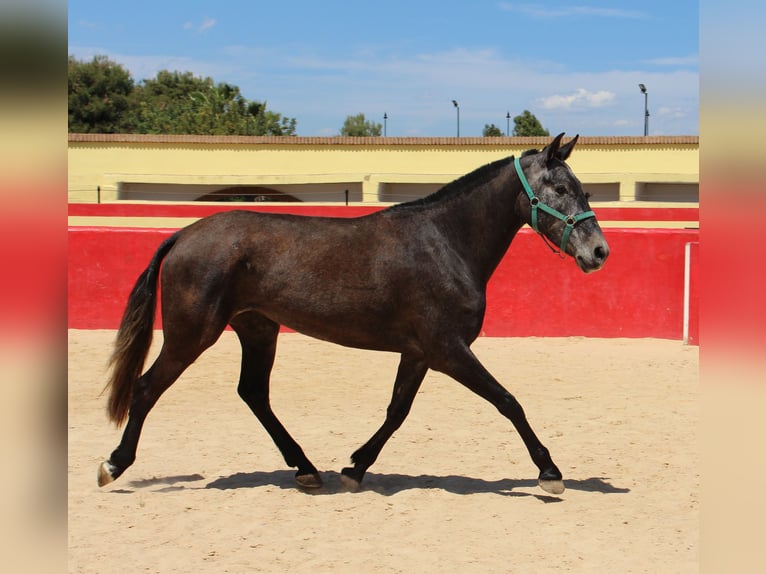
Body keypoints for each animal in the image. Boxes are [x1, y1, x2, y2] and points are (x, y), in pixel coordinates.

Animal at [97, 133, 612, 498]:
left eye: (583, 189)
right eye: (560, 187)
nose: (599, 251)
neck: (445, 243)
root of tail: (183, 234)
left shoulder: (419, 353)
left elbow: (397, 411)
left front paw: (354, 467)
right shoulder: (448, 350)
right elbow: (508, 401)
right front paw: (549, 471)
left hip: (258, 328)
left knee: (254, 393)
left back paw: (306, 470)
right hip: (191, 334)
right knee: (146, 388)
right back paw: (113, 464)